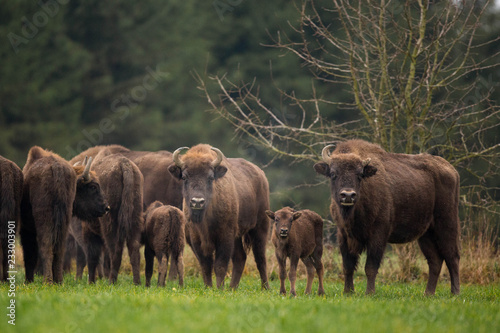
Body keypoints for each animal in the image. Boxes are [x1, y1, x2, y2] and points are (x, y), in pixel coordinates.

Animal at [21, 147, 109, 282]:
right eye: (93, 186)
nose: (106, 207)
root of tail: (57, 169)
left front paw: (28, 280)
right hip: (64, 221)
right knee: (59, 248)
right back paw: (58, 281)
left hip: (45, 220)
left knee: (46, 246)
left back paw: (48, 281)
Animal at [168, 144, 270, 290]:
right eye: (185, 177)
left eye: (210, 177)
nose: (197, 201)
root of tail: (261, 174)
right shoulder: (196, 238)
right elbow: (205, 265)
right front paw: (208, 287)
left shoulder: (225, 236)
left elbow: (220, 264)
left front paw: (219, 288)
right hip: (238, 236)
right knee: (240, 257)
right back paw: (232, 288)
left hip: (260, 227)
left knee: (260, 258)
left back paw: (265, 287)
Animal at [312, 139, 460, 294]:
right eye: (333, 173)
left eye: (360, 174)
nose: (348, 195)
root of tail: (452, 171)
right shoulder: (344, 235)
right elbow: (348, 266)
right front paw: (348, 292)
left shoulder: (378, 235)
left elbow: (370, 267)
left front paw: (369, 293)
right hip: (426, 234)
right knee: (435, 261)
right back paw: (428, 294)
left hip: (446, 224)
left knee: (452, 257)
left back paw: (455, 292)